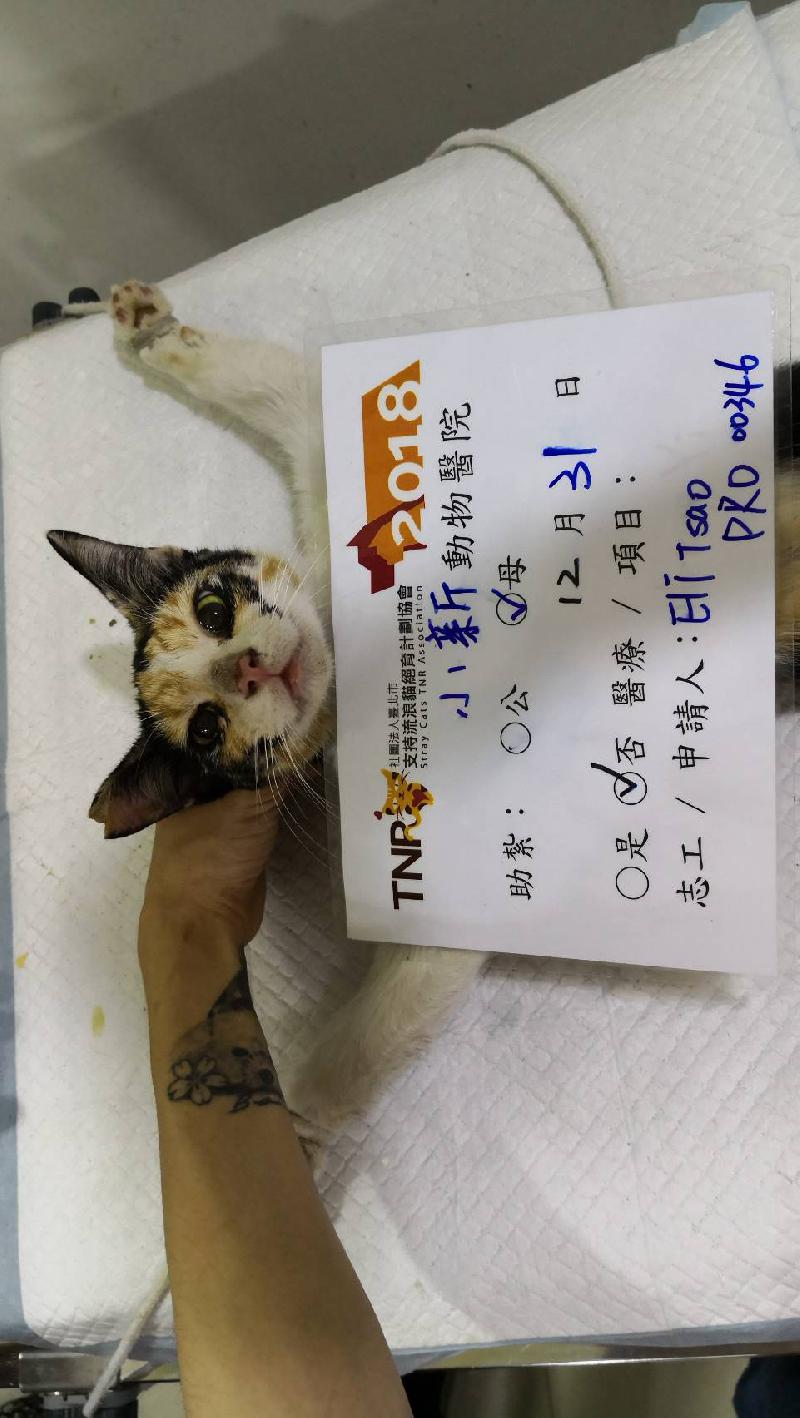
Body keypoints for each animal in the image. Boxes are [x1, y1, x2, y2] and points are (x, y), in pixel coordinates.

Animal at [47, 279, 486, 1128]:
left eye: (215, 607)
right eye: (207, 729)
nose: (247, 666)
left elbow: (276, 384)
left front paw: (147, 330)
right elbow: (409, 986)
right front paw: (300, 1126)